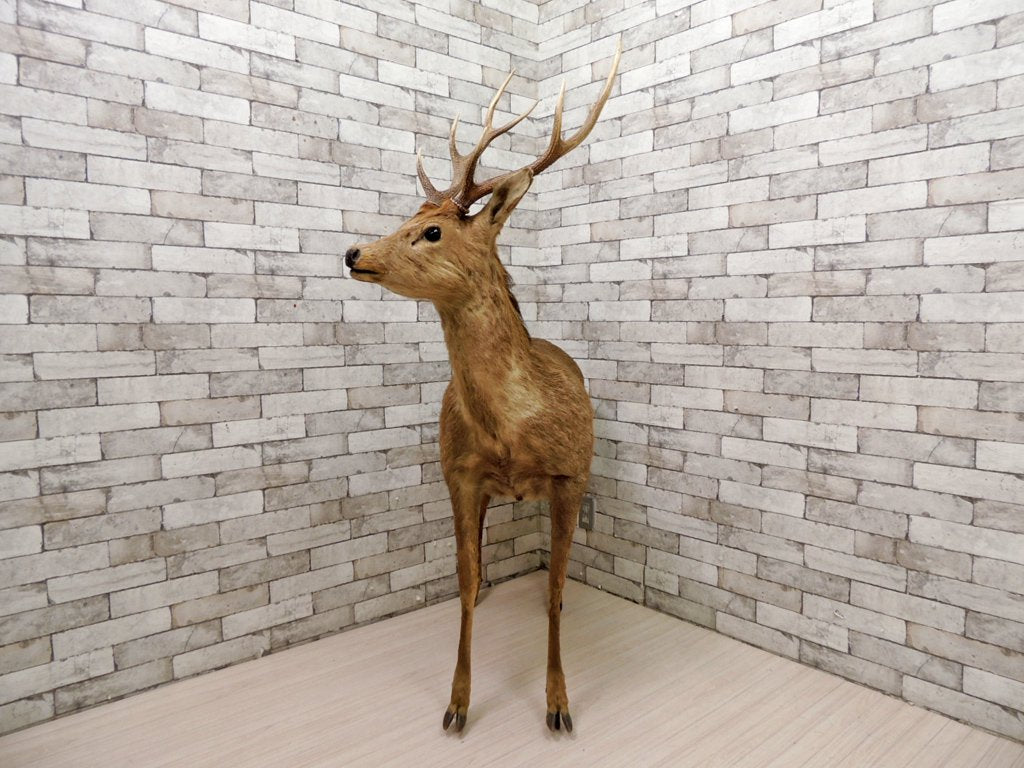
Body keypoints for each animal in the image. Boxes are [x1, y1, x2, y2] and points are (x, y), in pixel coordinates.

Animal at [344, 41, 621, 734]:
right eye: (408, 217)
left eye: (433, 231)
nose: (354, 252)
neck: (512, 432)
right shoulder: (458, 474)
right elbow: (463, 584)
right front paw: (457, 705)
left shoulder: (572, 473)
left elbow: (554, 589)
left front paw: (558, 704)